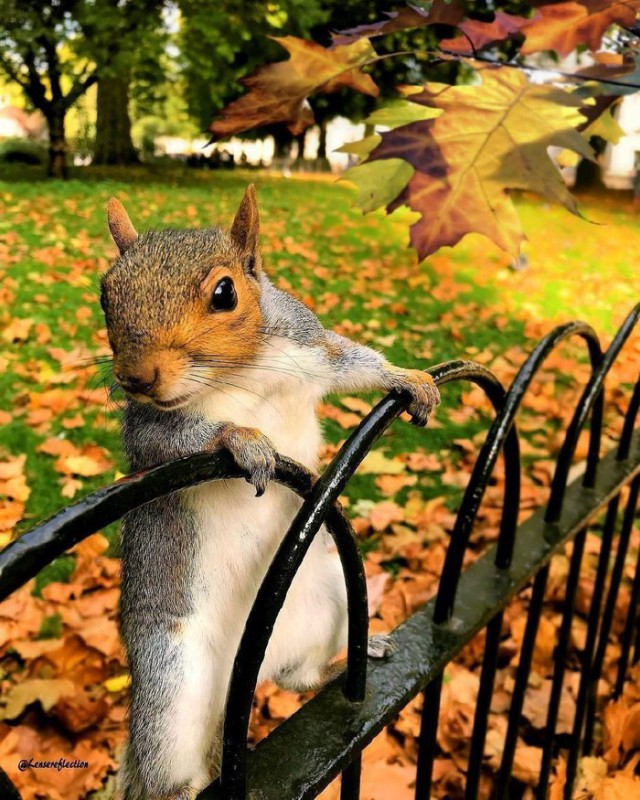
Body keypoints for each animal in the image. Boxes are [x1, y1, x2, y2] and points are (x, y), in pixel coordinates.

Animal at [102, 185, 440, 800]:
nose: (136, 377)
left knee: (298, 679)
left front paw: (408, 378)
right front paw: (240, 439)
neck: (239, 372)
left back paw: (352, 658)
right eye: (105, 296)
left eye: (225, 292)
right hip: (170, 682)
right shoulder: (146, 426)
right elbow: (171, 442)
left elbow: (351, 361)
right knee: (170, 768)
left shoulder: (310, 346)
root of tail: (242, 680)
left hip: (330, 598)